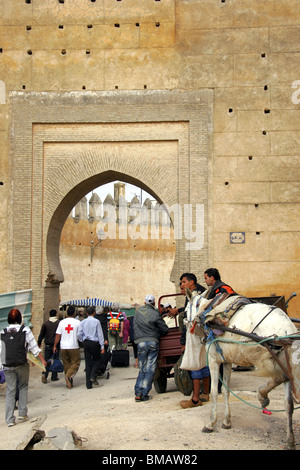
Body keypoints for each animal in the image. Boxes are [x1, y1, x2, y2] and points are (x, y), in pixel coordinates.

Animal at [186, 290, 300, 452]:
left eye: (185, 310)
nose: (185, 323)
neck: (207, 310)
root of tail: (287, 328)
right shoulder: (227, 360)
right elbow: (225, 390)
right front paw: (226, 421)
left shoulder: (214, 360)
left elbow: (214, 392)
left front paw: (211, 423)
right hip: (284, 358)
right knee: (288, 403)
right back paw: (290, 440)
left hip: (266, 355)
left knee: (281, 377)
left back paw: (262, 395)